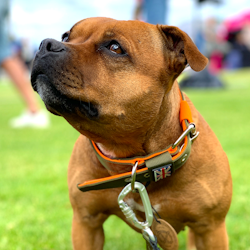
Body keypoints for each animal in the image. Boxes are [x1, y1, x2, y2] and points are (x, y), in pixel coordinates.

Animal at [30, 16, 232, 249]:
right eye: (65, 37)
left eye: (115, 47)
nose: (46, 44)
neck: (134, 162)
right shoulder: (86, 223)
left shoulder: (211, 228)